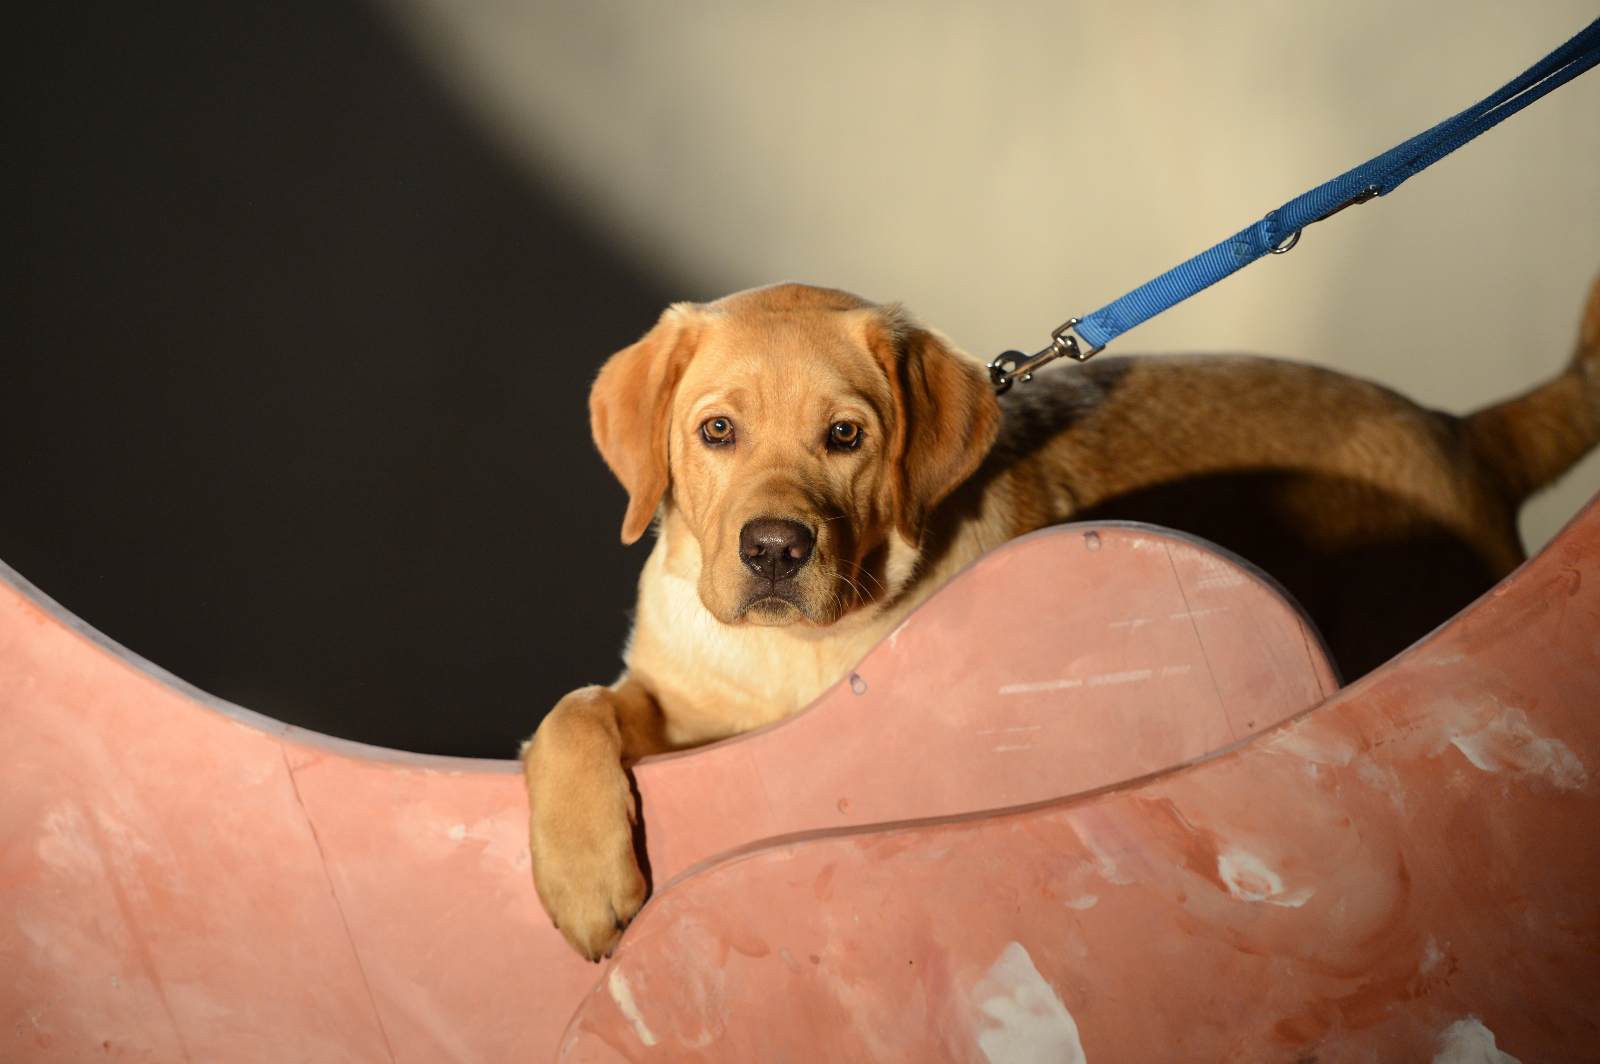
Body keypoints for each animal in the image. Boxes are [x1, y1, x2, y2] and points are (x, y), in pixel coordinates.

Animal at [524, 272, 1600, 953]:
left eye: (845, 437)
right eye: (716, 431)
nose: (776, 550)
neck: (799, 651)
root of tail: (1462, 432)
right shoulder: (679, 708)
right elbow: (573, 713)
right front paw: (581, 872)